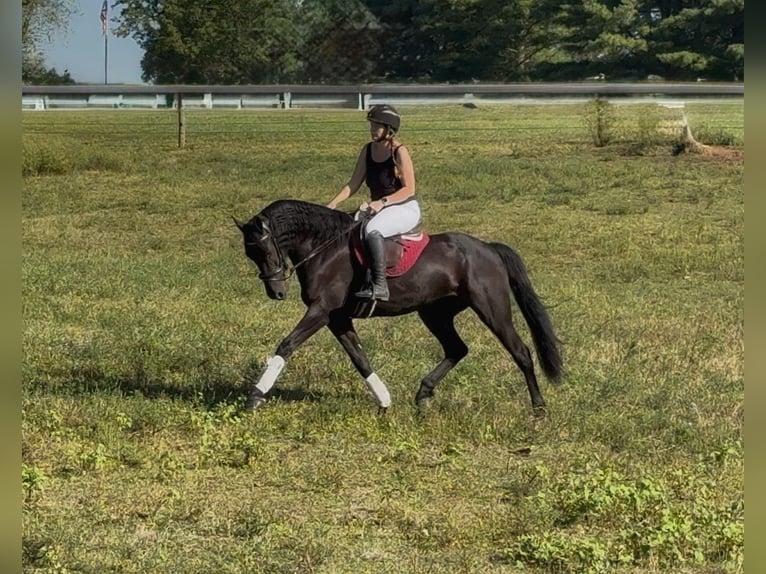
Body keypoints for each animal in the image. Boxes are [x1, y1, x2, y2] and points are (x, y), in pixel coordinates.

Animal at [234, 199, 563, 415]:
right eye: (250, 255)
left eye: (265, 249)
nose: (276, 292)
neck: (324, 247)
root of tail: (488, 249)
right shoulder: (337, 318)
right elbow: (360, 359)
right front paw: (384, 400)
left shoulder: (321, 311)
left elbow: (287, 345)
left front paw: (255, 396)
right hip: (435, 313)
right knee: (456, 349)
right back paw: (423, 394)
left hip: (492, 309)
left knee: (520, 352)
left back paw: (539, 408)